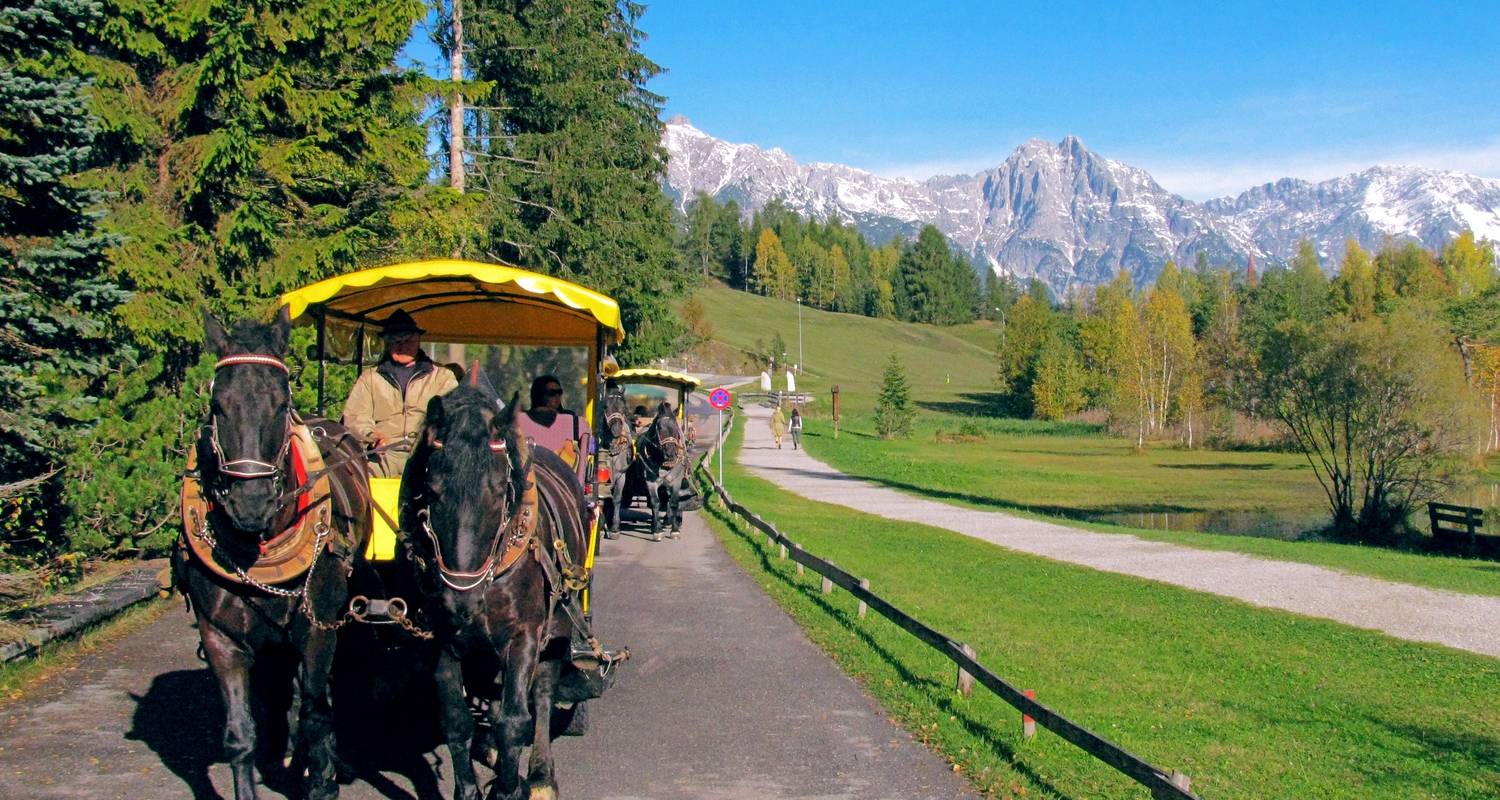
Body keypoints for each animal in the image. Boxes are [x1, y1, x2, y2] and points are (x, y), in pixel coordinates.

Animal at [177, 310, 372, 798]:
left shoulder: (319, 626)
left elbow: (317, 710)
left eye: (281, 405)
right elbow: (240, 732)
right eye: (217, 405)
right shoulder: (220, 636)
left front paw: (322, 778)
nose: (251, 504)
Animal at [405, 387, 591, 798]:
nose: (460, 600)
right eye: (432, 490)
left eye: (497, 491)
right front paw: (468, 789)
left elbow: (515, 721)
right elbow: (456, 719)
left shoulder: (525, 635)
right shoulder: (441, 636)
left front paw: (510, 787)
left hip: (558, 623)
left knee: (542, 692)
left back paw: (539, 775)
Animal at [633, 402, 687, 540]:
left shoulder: (676, 481)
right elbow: (655, 502)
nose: (670, 454)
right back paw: (654, 524)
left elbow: (673, 503)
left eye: (676, 429)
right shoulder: (650, 482)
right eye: (660, 429)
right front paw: (657, 530)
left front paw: (675, 530)